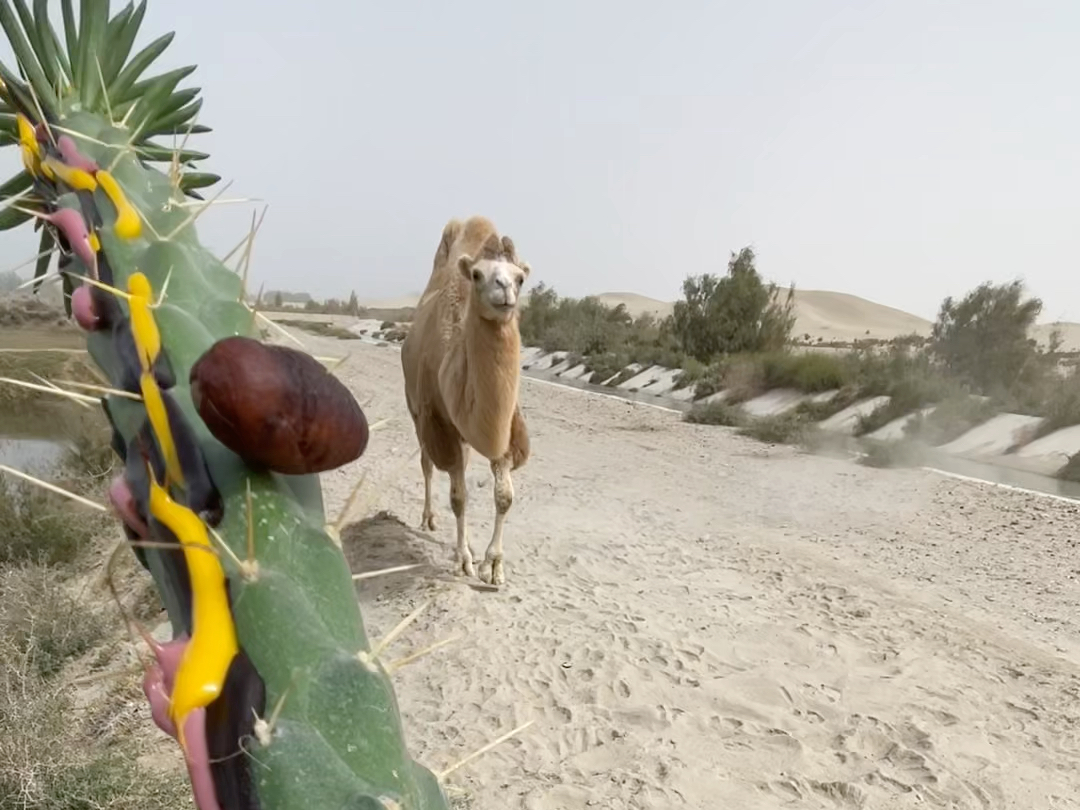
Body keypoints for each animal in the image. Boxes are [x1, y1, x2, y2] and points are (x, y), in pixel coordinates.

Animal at [401, 216, 531, 583]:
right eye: (477, 275)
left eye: (520, 277)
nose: (505, 290)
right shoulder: (437, 420)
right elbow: (458, 496)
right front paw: (463, 559)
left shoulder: (501, 424)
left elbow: (504, 496)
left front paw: (494, 565)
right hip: (415, 409)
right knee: (427, 464)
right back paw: (429, 519)